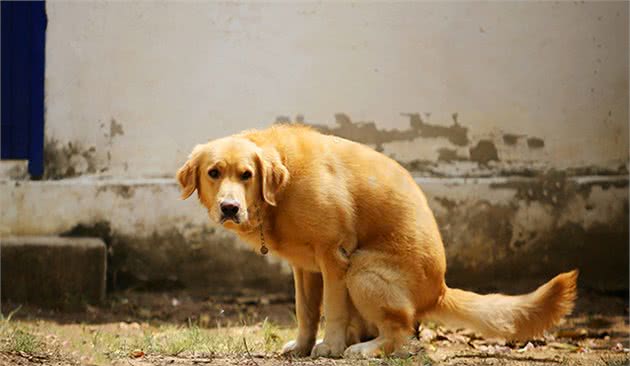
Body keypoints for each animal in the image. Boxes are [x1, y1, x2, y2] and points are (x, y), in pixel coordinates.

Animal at [177, 124, 576, 358]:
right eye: (214, 173)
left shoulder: (334, 257)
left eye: (246, 175)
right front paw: (304, 346)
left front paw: (330, 347)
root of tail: (440, 290)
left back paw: (363, 349)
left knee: (401, 335)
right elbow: (307, 312)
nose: (229, 208)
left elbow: (333, 311)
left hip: (363, 270)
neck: (281, 189)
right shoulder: (304, 268)